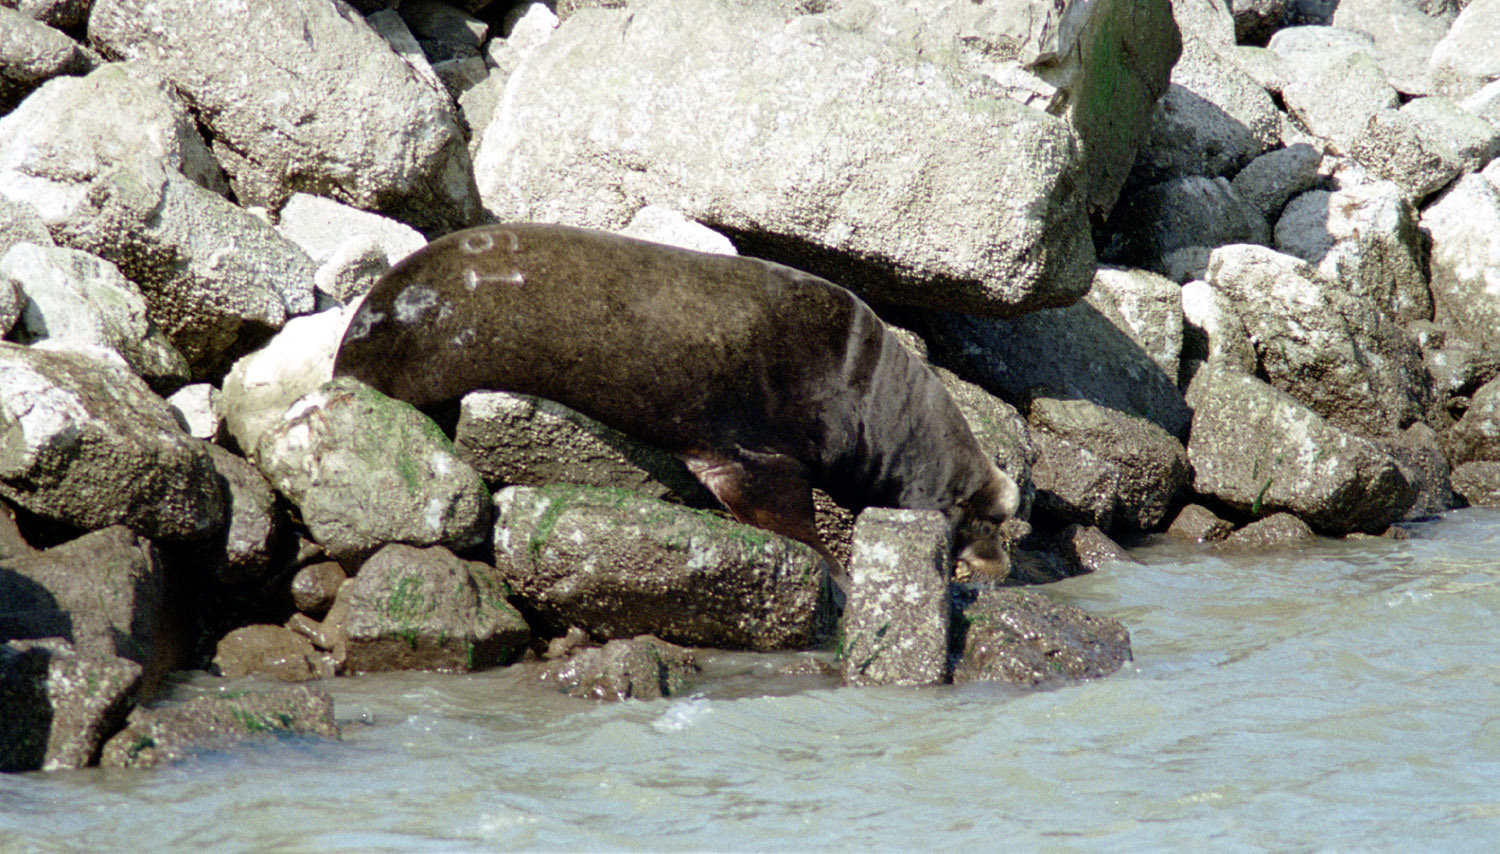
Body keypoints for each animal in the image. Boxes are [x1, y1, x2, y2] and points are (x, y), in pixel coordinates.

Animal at [333, 223, 1020, 584]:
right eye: (985, 519)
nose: (1001, 565)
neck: (869, 395)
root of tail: (350, 345)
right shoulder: (756, 449)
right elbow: (783, 508)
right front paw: (838, 568)